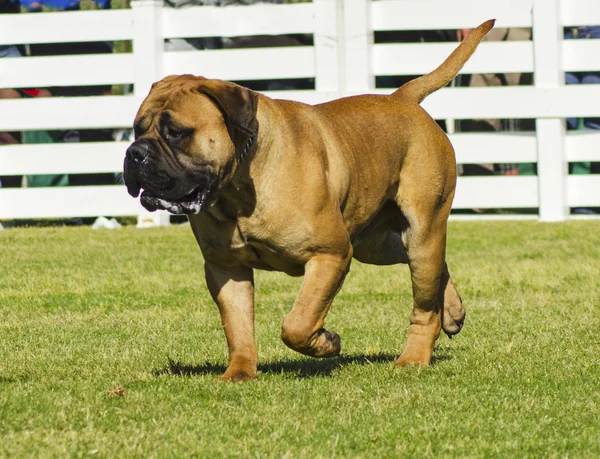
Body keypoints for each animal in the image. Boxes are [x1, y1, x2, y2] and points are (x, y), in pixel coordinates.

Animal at [124, 19, 494, 382]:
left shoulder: (330, 254)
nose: (135, 153)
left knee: (423, 303)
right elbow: (238, 326)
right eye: (137, 129)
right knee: (433, 270)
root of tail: (402, 98)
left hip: (420, 230)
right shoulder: (226, 267)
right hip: (375, 244)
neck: (238, 187)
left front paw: (326, 342)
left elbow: (298, 323)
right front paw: (239, 372)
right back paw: (453, 311)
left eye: (176, 133)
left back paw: (414, 357)